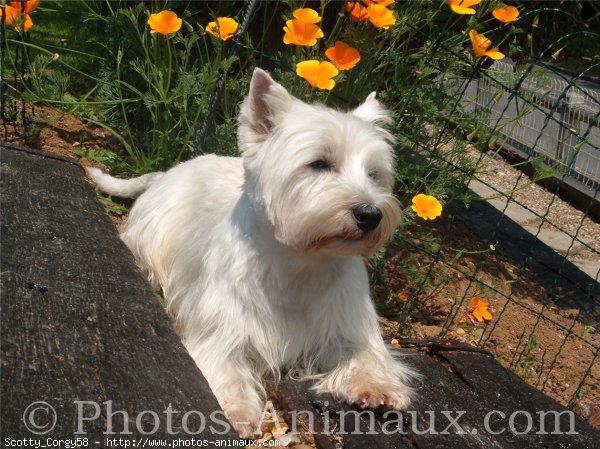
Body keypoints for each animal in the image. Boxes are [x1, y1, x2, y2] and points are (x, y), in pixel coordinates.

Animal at [88, 68, 418, 436]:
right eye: (319, 163)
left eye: (374, 174)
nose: (370, 215)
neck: (300, 261)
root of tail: (173, 169)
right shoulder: (225, 325)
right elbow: (225, 364)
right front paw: (238, 411)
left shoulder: (347, 322)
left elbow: (366, 355)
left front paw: (377, 386)